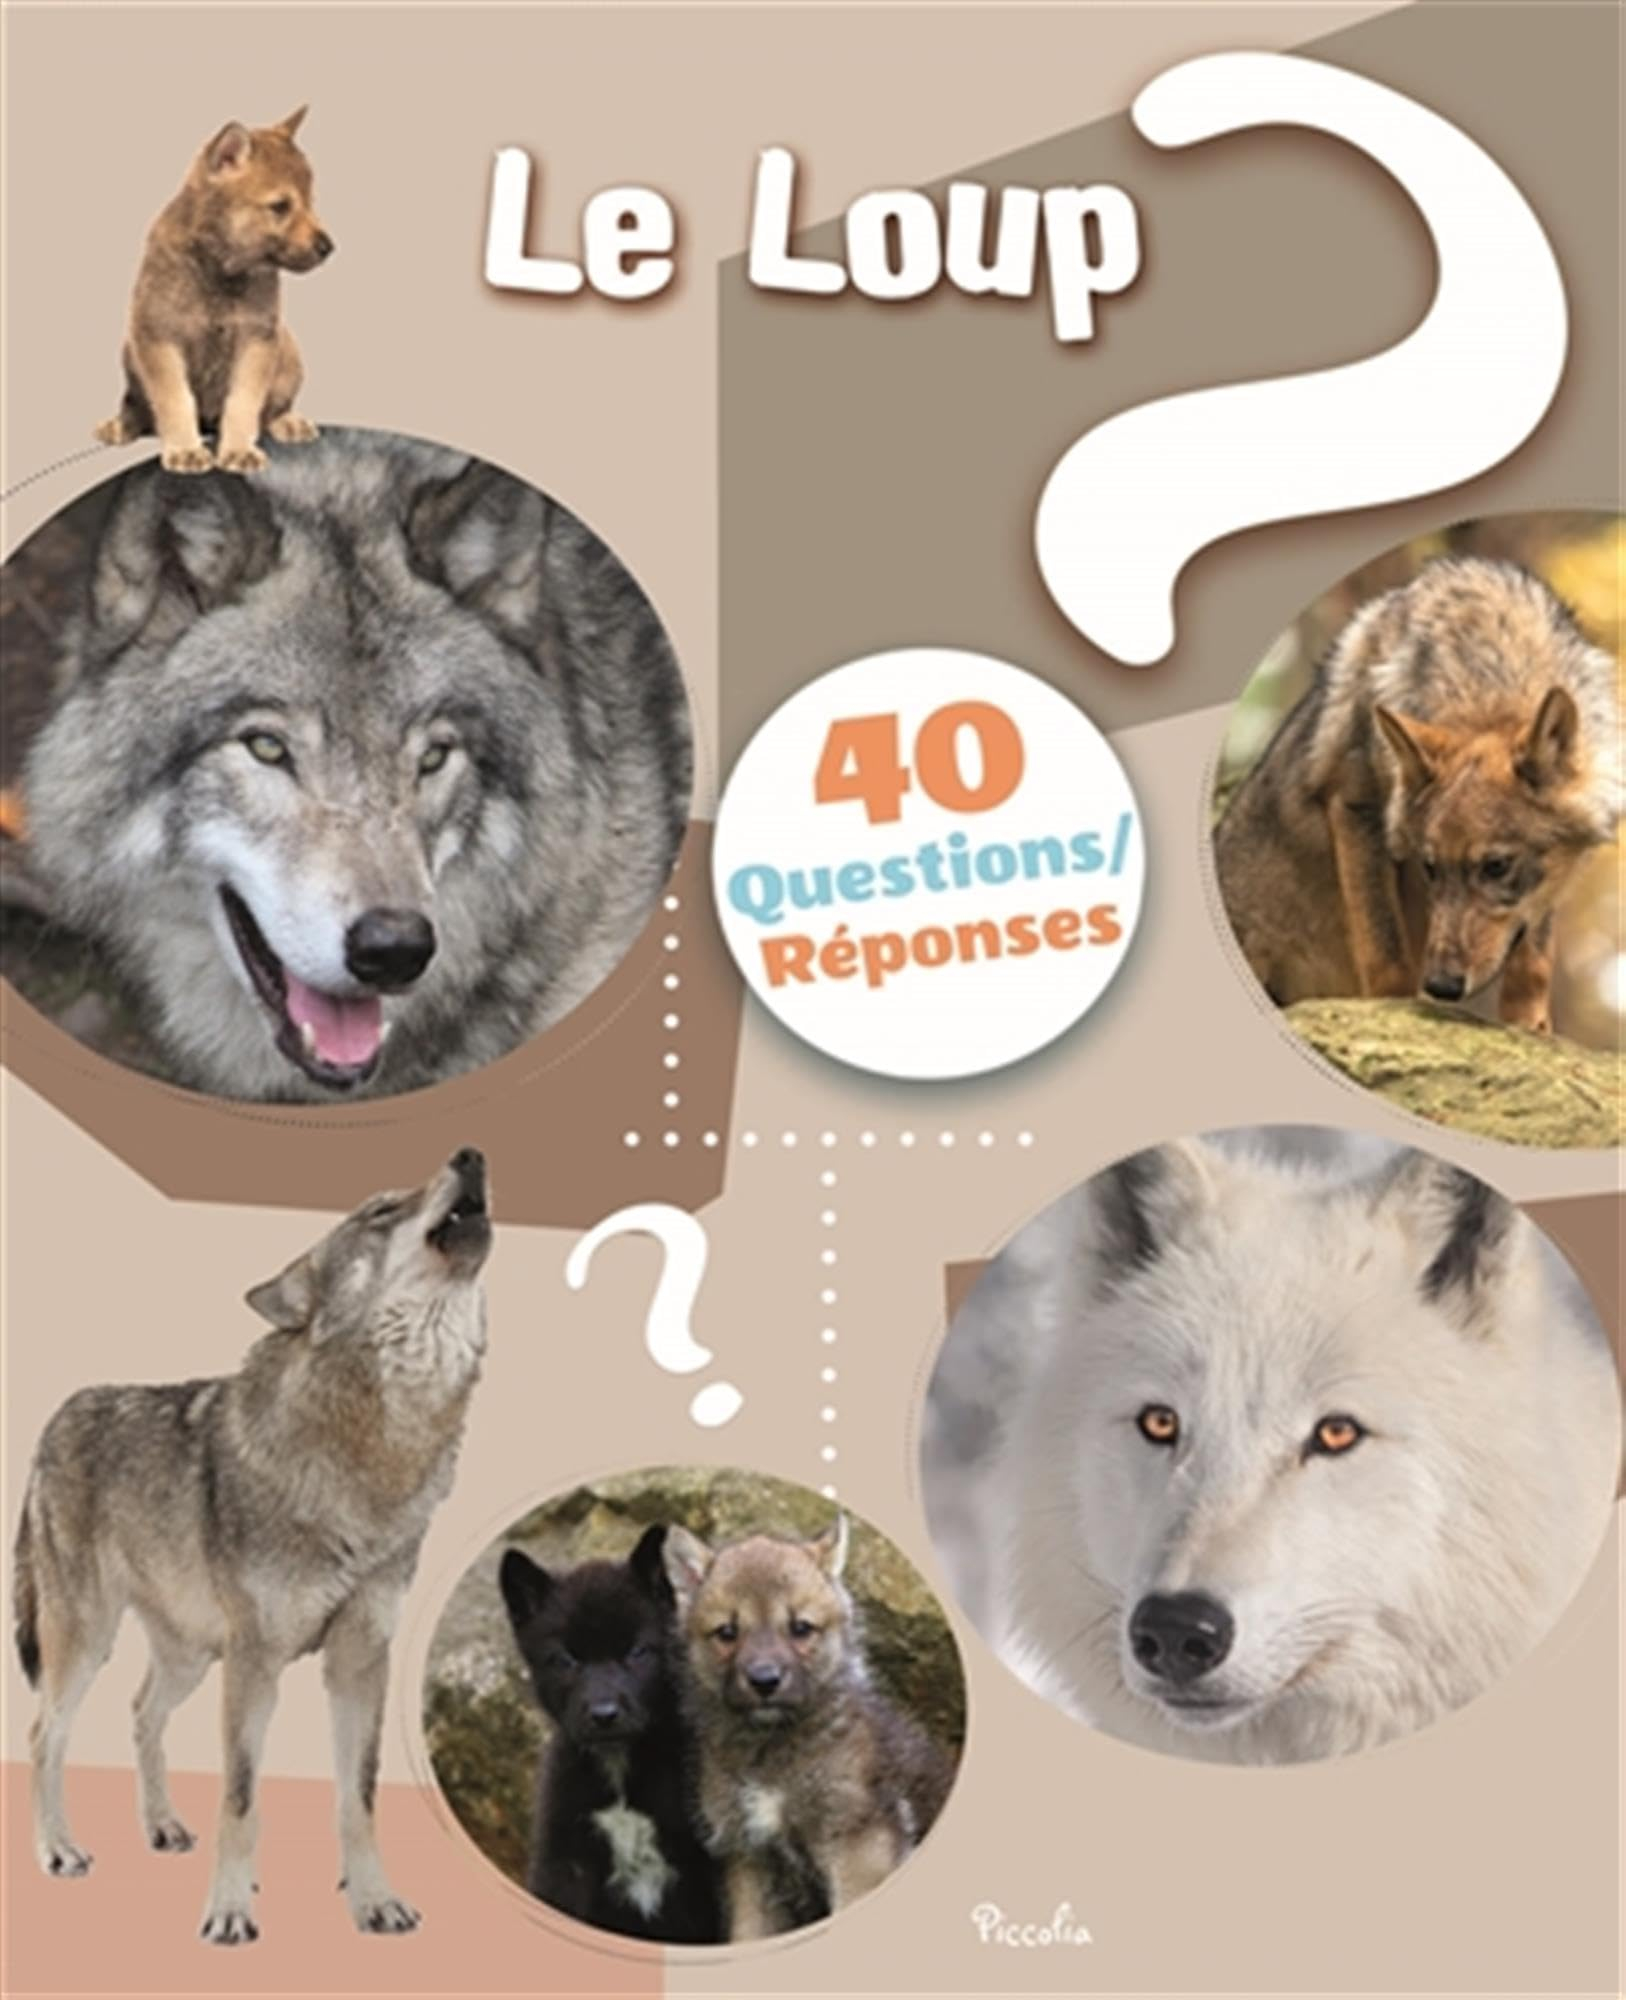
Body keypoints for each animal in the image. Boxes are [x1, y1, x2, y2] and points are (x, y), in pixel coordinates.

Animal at [12, 1148, 493, 1942]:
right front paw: (231, 1910)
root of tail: (56, 1416)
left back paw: (162, 1826)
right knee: (42, 1733)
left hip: (190, 1657)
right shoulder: (257, 1661)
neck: (374, 1450)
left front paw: (373, 1899)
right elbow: (240, 1799)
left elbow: (358, 1797)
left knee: (140, 1713)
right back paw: (57, 1848)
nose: (470, 1155)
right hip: (90, 1641)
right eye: (380, 1212)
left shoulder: (359, 1660)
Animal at [96, 108, 333, 474]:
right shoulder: (159, 336)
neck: (220, 272)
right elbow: (174, 400)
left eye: (311, 202)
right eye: (280, 206)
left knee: (271, 409)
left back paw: (288, 421)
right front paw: (185, 450)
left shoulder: (257, 339)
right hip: (130, 351)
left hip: (288, 350)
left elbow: (244, 403)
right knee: (135, 405)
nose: (328, 247)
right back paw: (120, 424)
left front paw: (237, 450)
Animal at [663, 1519, 952, 1939]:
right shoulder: (748, 1861)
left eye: (801, 1628)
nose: (764, 1681)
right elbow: (746, 1934)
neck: (771, 1752)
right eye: (727, 1632)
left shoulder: (857, 1844)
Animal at [1215, 558, 1621, 1031]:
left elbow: (1533, 960)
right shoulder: (1356, 805)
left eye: (1496, 866)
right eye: (1430, 867)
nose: (1441, 986)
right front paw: (1394, 1016)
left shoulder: (1551, 884)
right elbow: (1385, 952)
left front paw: (1530, 1028)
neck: (1488, 668)